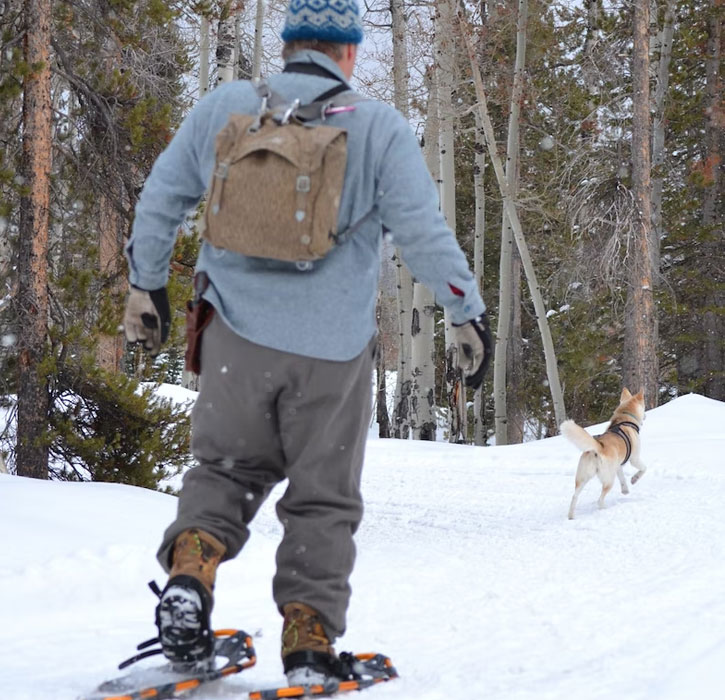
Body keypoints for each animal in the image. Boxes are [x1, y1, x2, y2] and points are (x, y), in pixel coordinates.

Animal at [560, 388, 644, 520]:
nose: (645, 416)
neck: (625, 420)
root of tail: (598, 447)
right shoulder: (634, 459)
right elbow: (643, 469)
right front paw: (634, 479)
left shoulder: (618, 465)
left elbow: (622, 479)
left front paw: (625, 490)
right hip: (609, 480)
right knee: (599, 500)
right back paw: (604, 509)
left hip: (582, 478)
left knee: (574, 496)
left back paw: (571, 516)